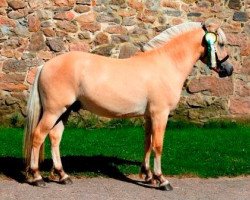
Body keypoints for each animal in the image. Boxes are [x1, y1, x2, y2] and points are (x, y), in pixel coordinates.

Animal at [23, 19, 232, 191]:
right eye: (221, 43)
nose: (229, 70)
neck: (166, 64)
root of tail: (44, 66)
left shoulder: (149, 115)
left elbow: (147, 143)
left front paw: (148, 176)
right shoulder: (160, 113)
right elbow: (158, 145)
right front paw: (161, 180)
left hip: (65, 111)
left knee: (54, 137)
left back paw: (62, 175)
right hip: (53, 111)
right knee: (38, 136)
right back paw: (36, 177)